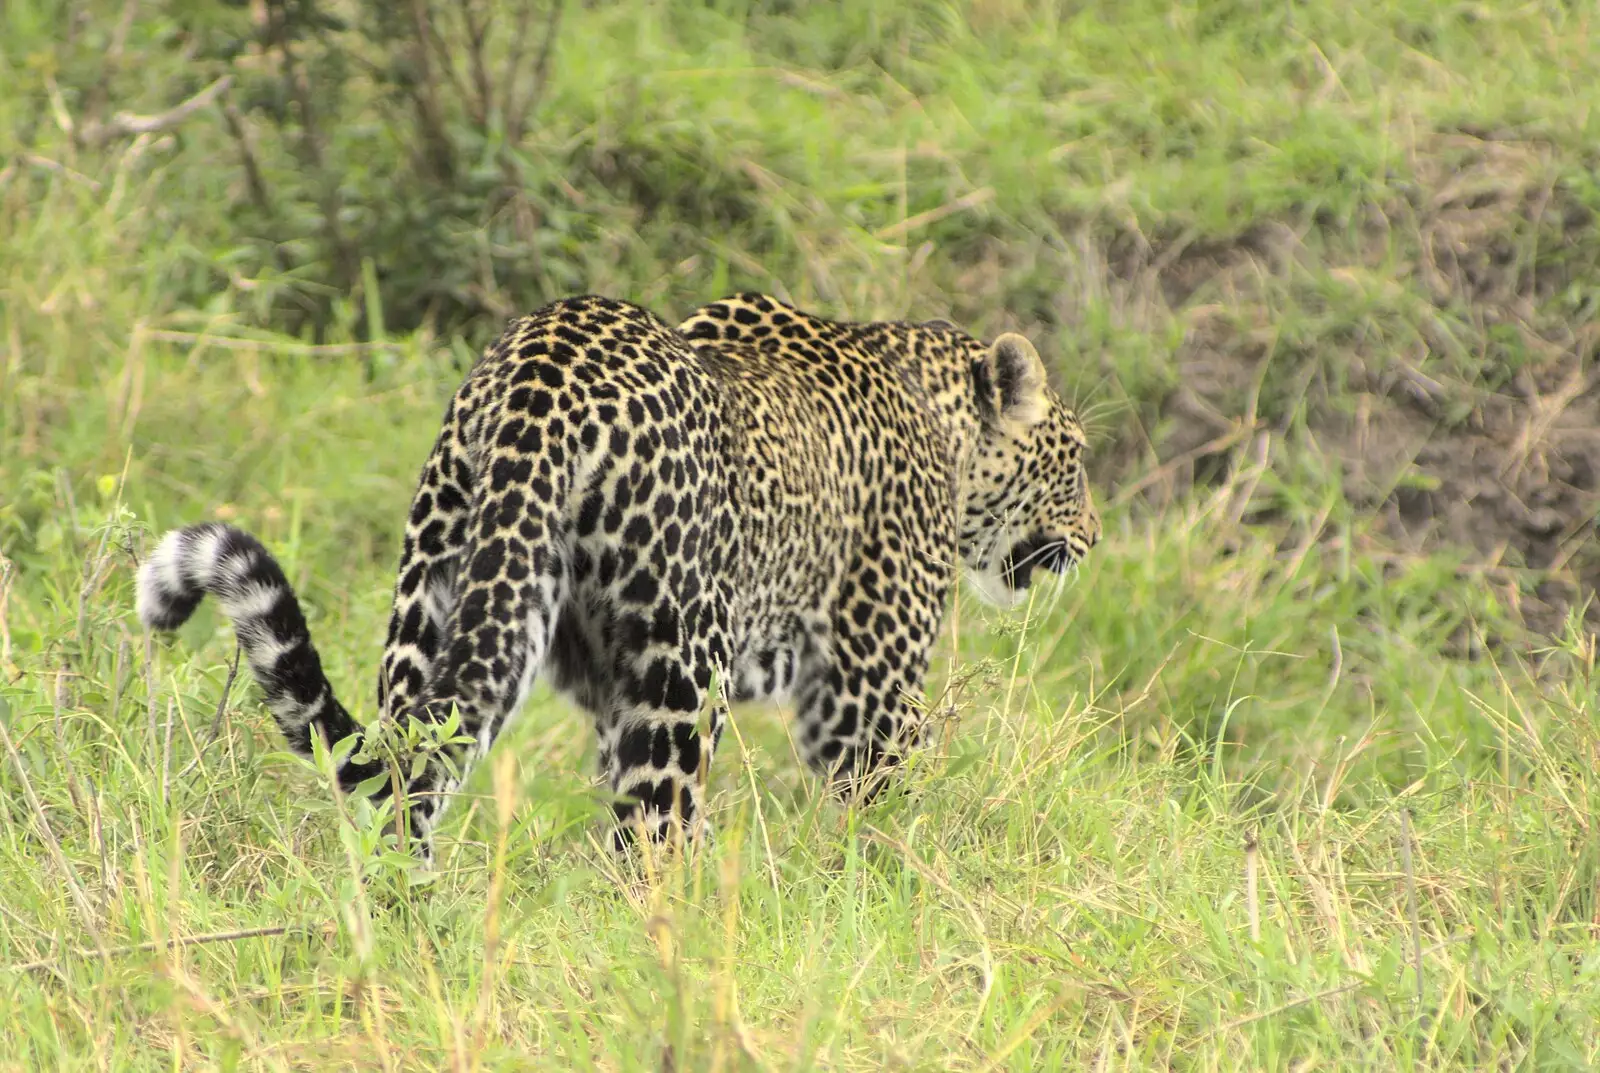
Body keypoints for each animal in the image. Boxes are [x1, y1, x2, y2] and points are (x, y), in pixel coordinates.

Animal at [137, 291, 1100, 863]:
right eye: (1078, 459)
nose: (1091, 538)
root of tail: (544, 360)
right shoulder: (865, 692)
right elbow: (881, 808)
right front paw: (891, 880)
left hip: (440, 583)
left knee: (409, 770)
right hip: (685, 664)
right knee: (654, 832)